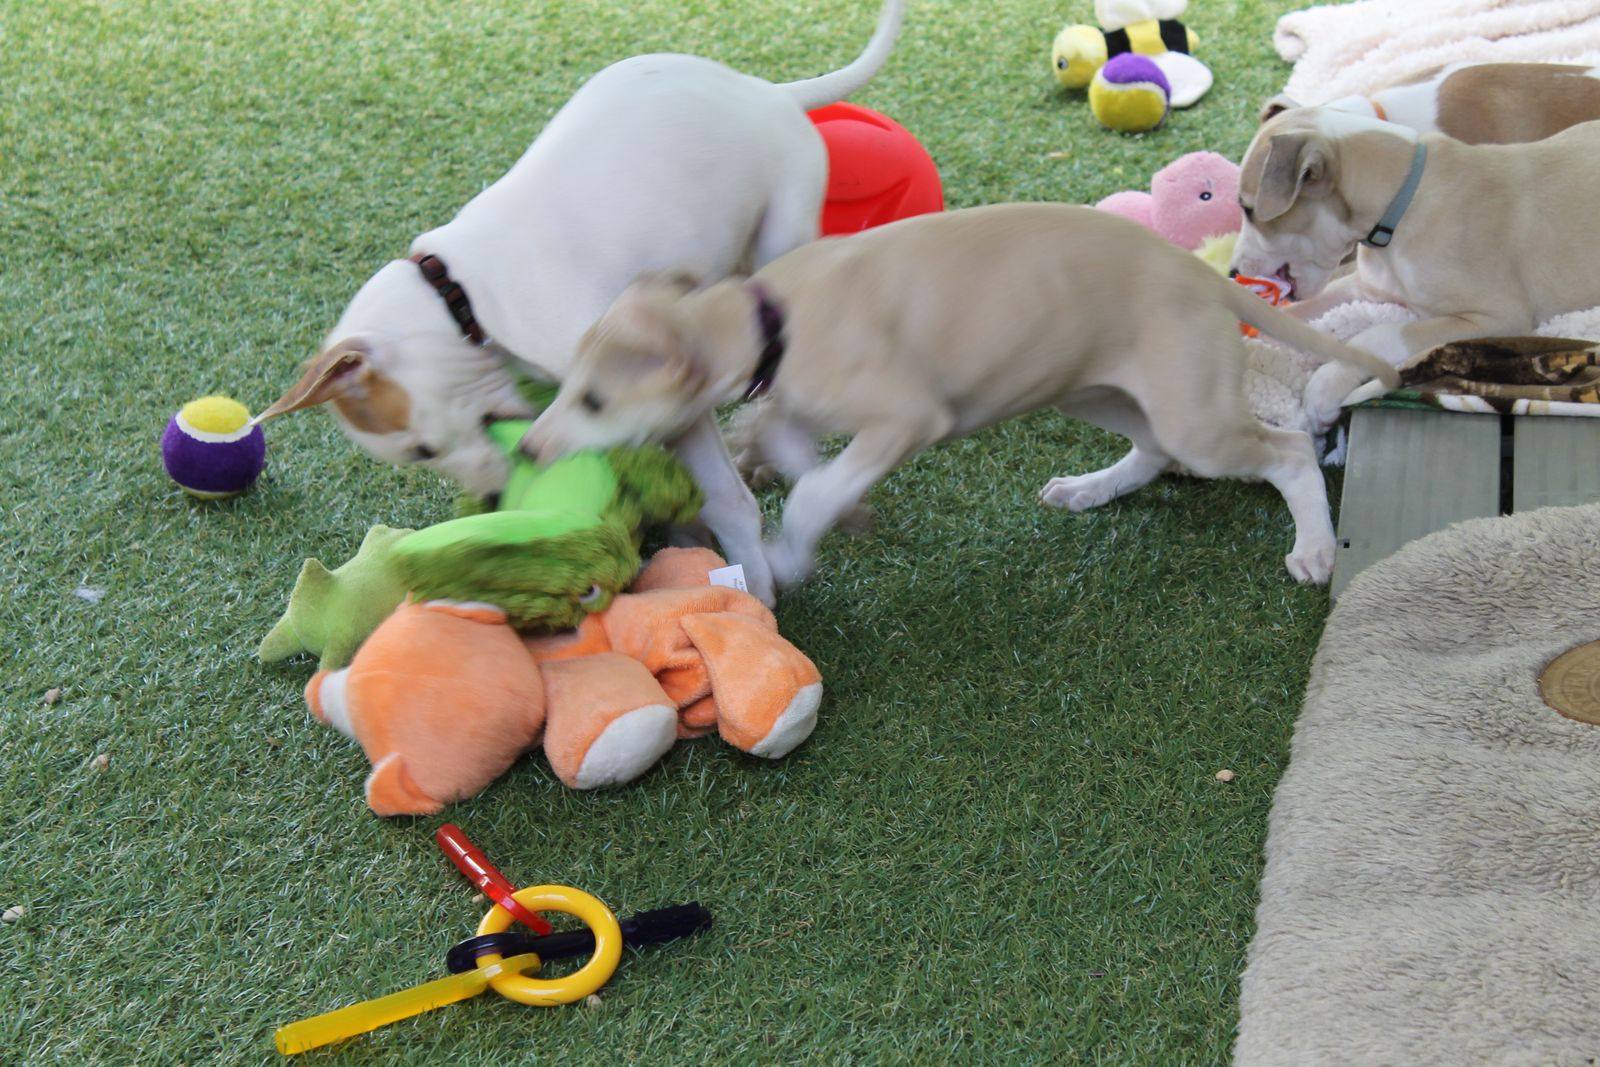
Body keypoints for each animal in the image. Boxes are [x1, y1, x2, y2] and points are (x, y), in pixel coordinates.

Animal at [257, 0, 907, 606]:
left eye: (423, 449)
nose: (490, 498)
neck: (463, 293)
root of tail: (766, 91)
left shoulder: (666, 392)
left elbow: (723, 497)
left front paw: (752, 586)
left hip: (785, 227)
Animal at [519, 204, 1400, 587]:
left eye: (593, 402)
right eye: (567, 389)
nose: (528, 447)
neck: (765, 317)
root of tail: (1204, 276)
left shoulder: (906, 417)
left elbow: (810, 493)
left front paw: (788, 552)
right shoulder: (795, 407)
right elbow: (791, 449)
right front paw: (827, 502)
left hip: (1195, 419)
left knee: (1288, 451)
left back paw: (1315, 547)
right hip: (1092, 387)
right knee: (1149, 450)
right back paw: (1089, 488)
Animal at [1230, 106, 1600, 432]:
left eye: (1248, 210)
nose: (1232, 272)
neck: (1401, 202)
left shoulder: (1500, 318)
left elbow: (1377, 334)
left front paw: (1324, 387)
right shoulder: (1362, 286)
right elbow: (1291, 315)